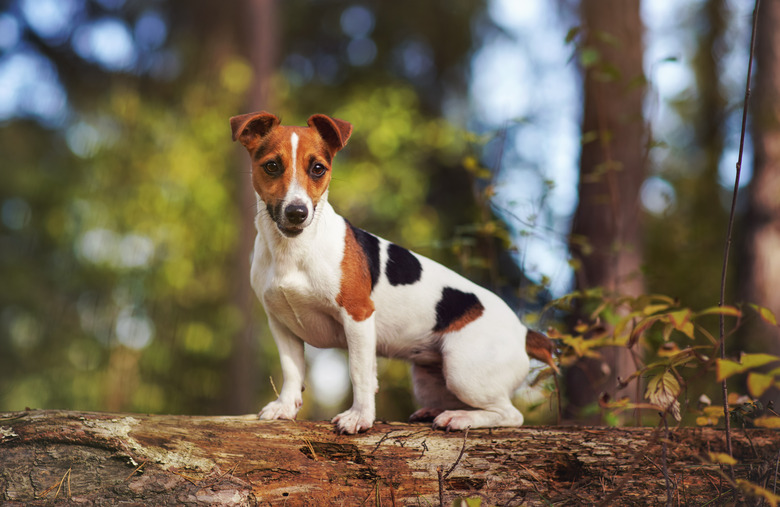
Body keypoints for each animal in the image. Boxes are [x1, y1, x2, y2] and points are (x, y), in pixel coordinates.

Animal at [229, 112, 556, 436]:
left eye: (318, 169)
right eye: (272, 166)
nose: (297, 212)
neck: (294, 249)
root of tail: (523, 332)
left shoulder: (358, 316)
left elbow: (360, 373)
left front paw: (359, 417)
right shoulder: (281, 323)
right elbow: (292, 370)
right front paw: (285, 407)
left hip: (463, 369)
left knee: (510, 415)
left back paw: (460, 418)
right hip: (429, 378)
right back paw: (437, 411)